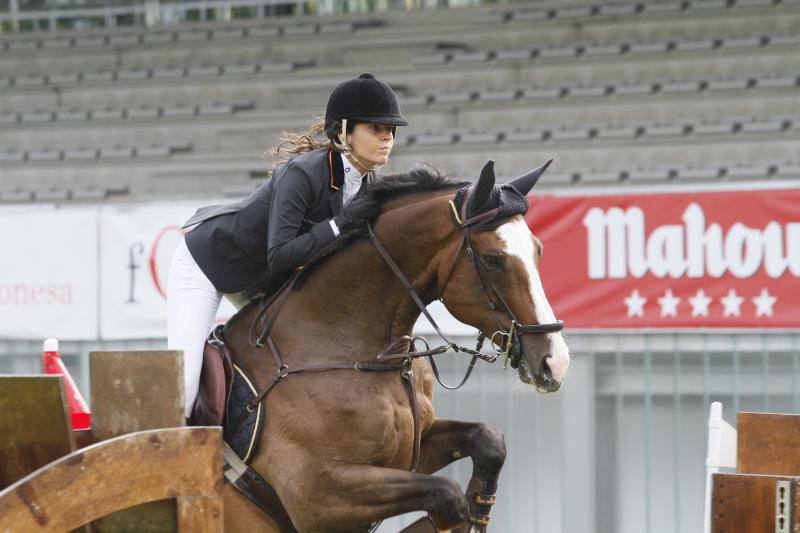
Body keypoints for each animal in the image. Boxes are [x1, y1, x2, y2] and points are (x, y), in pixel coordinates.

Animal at [219, 159, 568, 532]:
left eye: (538, 251)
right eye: (492, 259)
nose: (555, 362)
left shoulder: (410, 452)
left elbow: (488, 441)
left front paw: (479, 505)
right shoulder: (319, 495)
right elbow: (447, 496)